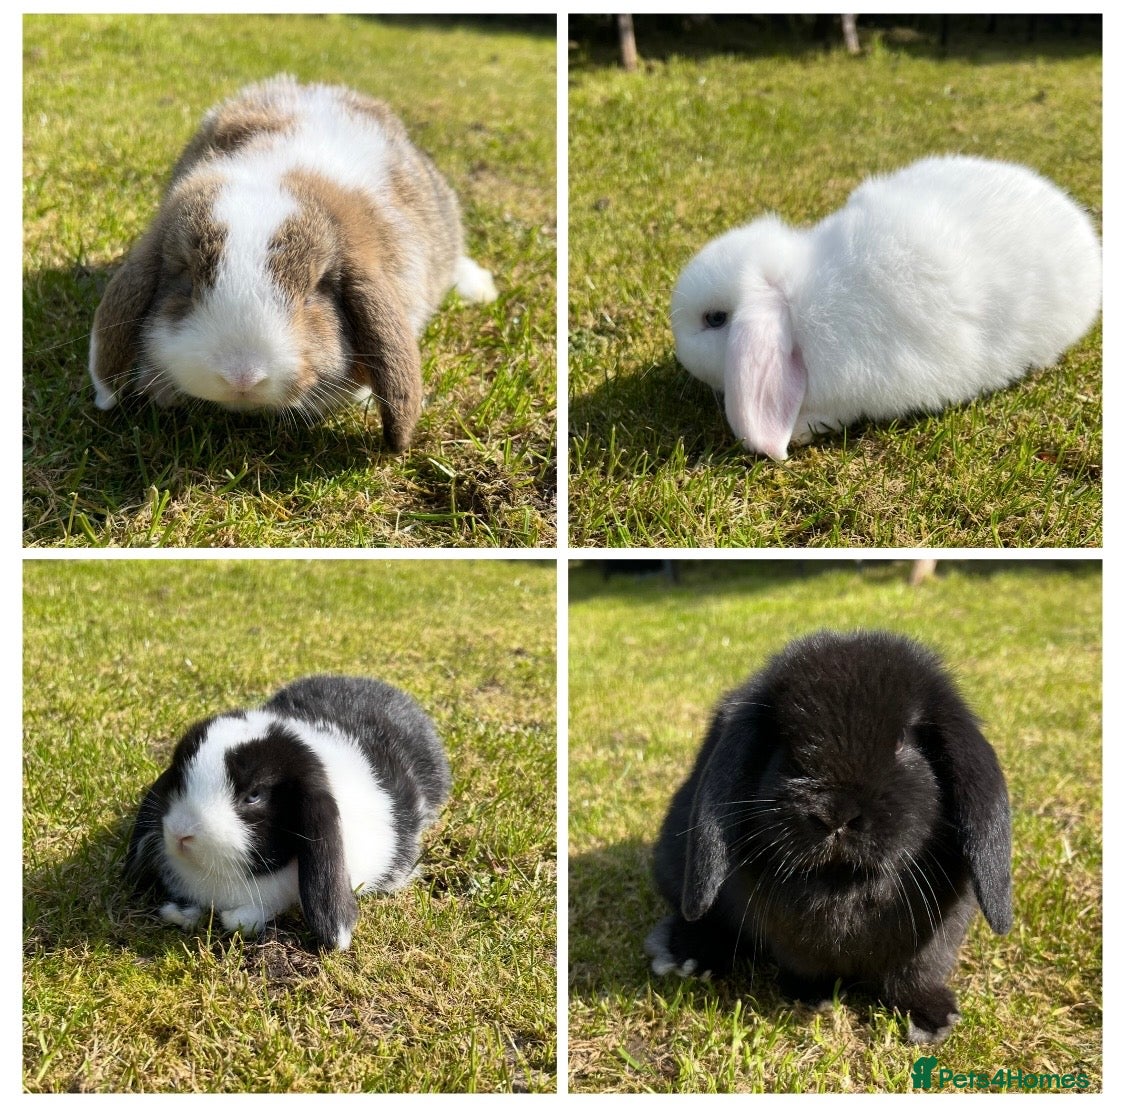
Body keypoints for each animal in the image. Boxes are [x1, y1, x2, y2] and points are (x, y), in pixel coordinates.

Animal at [645, 630, 1012, 1044]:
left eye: (903, 741)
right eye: (786, 742)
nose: (834, 815)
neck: (843, 884)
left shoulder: (933, 942)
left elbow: (913, 977)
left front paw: (933, 1020)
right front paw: (813, 997)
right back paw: (685, 957)